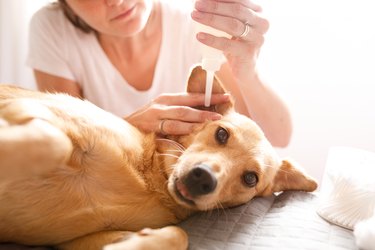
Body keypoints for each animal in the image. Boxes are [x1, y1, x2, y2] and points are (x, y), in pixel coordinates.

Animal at [0, 65, 318, 249]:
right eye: (221, 134)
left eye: (250, 178)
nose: (202, 179)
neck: (149, 181)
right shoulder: (32, 110)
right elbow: (52, 142)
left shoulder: (74, 241)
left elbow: (178, 236)